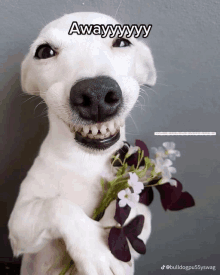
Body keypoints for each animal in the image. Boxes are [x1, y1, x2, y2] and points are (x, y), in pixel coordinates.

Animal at [8, 11, 156, 274]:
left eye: (122, 41)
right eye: (44, 51)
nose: (97, 93)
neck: (85, 161)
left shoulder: (140, 202)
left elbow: (137, 206)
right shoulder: (19, 223)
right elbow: (57, 205)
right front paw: (96, 250)